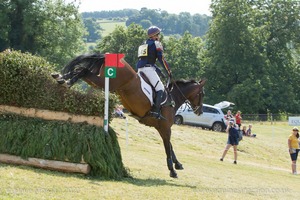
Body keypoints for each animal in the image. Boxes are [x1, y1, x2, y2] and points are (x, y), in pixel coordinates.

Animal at [53, 53, 206, 178]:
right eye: (202, 94)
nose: (200, 111)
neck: (172, 98)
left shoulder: (161, 127)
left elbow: (170, 146)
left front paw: (178, 164)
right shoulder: (165, 127)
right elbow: (167, 147)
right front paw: (172, 170)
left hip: (98, 79)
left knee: (81, 70)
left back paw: (60, 78)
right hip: (104, 81)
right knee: (83, 71)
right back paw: (66, 82)